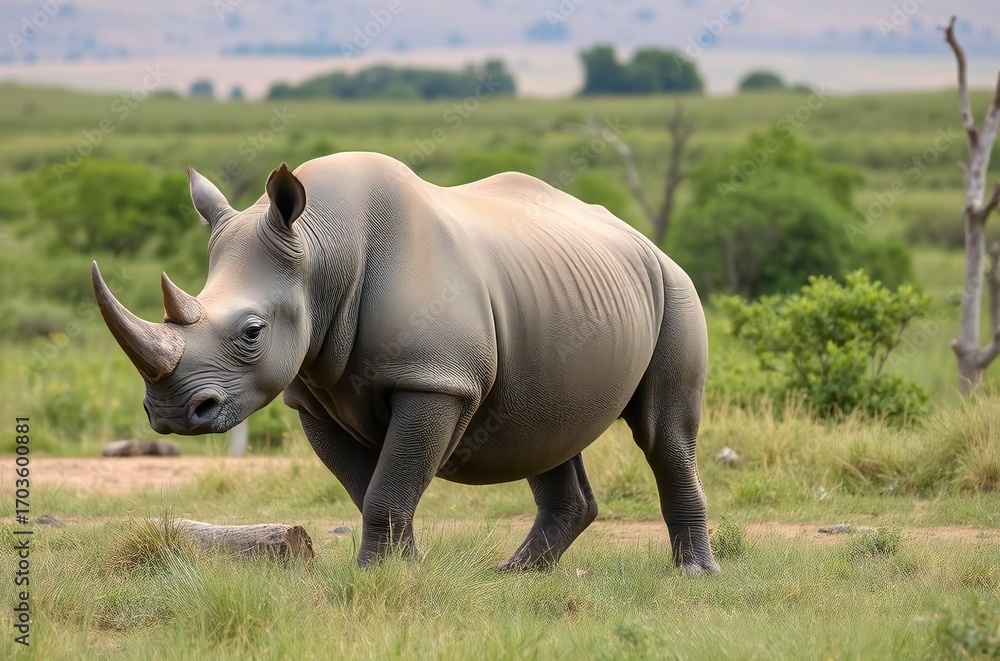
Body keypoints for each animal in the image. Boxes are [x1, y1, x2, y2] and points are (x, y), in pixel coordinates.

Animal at [92, 152, 719, 575]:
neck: (319, 250)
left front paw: (374, 574)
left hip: (676, 289)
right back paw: (517, 576)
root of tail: (644, 241)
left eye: (252, 332)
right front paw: (400, 570)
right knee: (542, 425)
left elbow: (389, 485)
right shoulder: (312, 395)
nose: (172, 414)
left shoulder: (436, 380)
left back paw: (692, 574)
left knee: (662, 433)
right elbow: (368, 486)